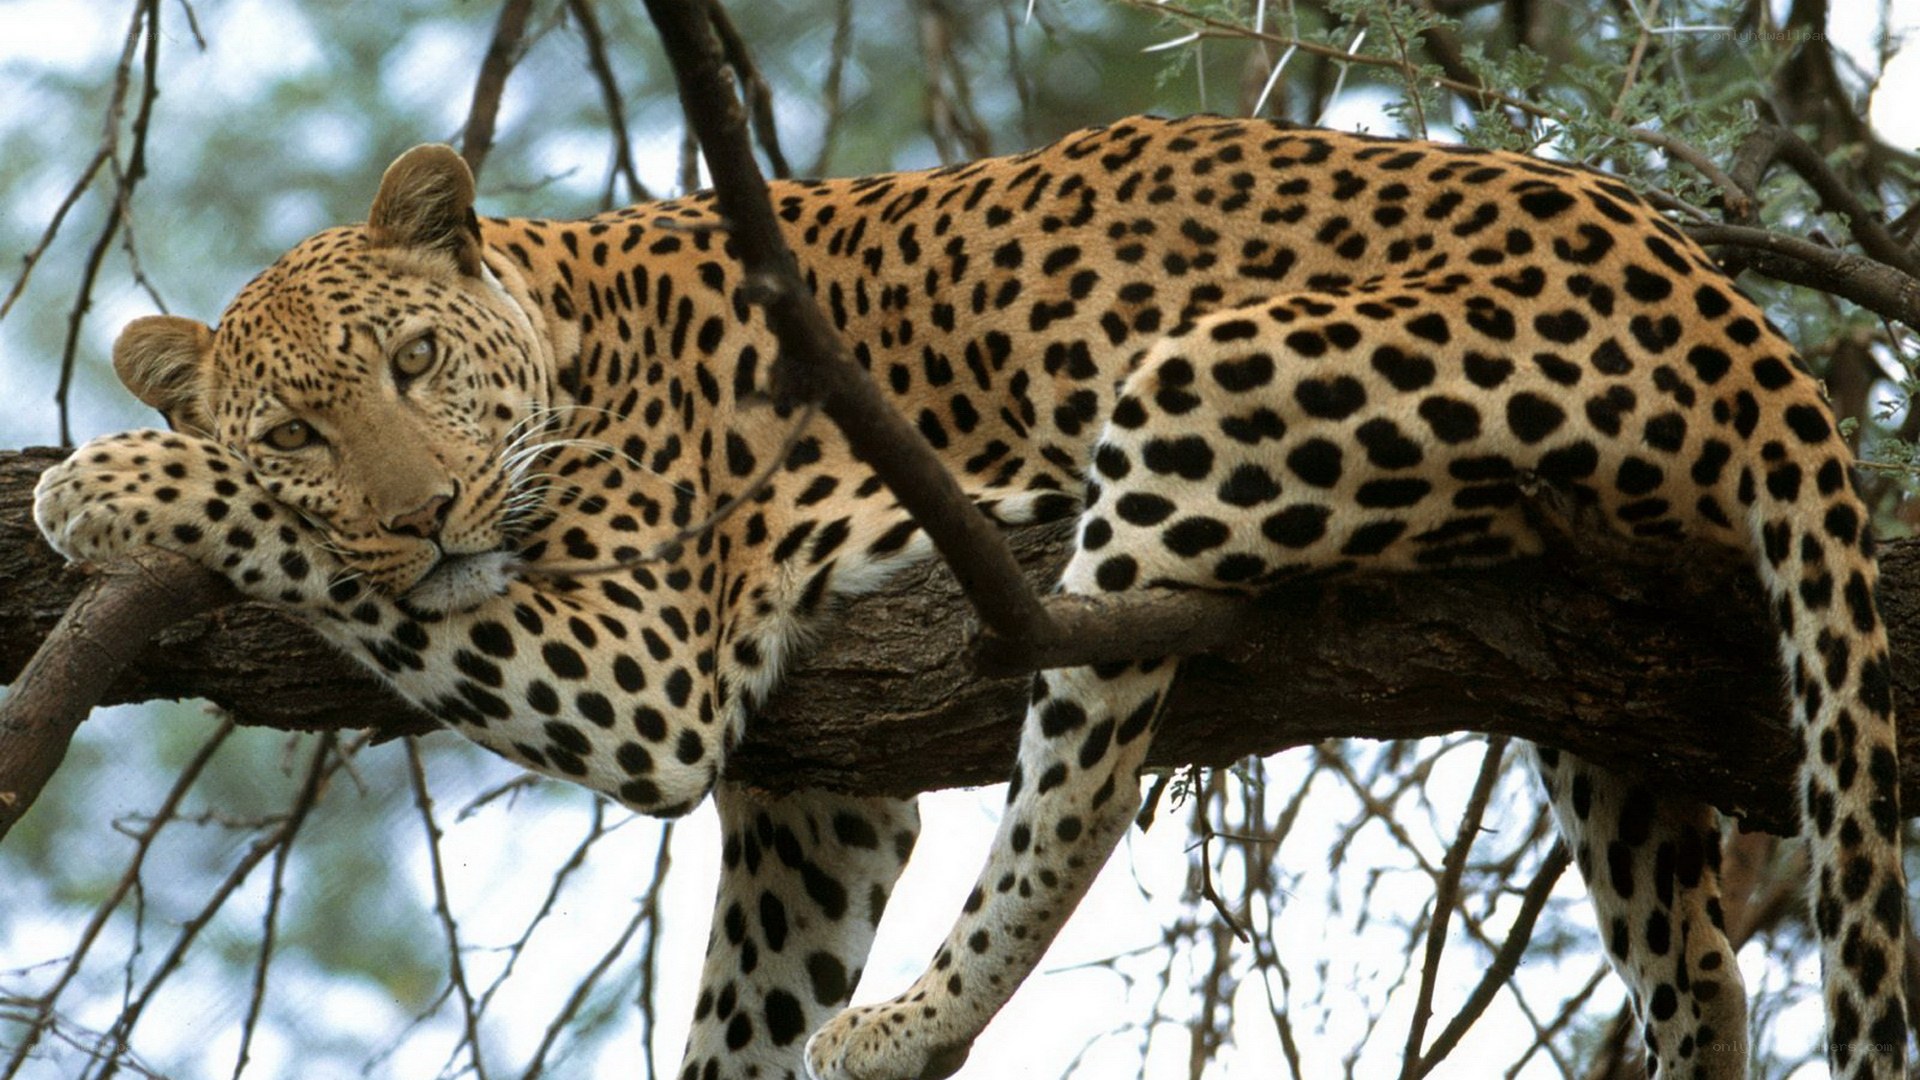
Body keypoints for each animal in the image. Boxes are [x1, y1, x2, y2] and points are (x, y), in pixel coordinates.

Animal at [31, 114, 1908, 1079]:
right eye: (299, 427)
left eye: (414, 365)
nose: (422, 521)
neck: (566, 324)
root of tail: (1732, 310)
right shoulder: (814, 804)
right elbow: (742, 1013)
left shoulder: (644, 667)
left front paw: (103, 485)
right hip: (1596, 685)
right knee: (1700, 967)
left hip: (1197, 395)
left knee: (1078, 795)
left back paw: (911, 1024)